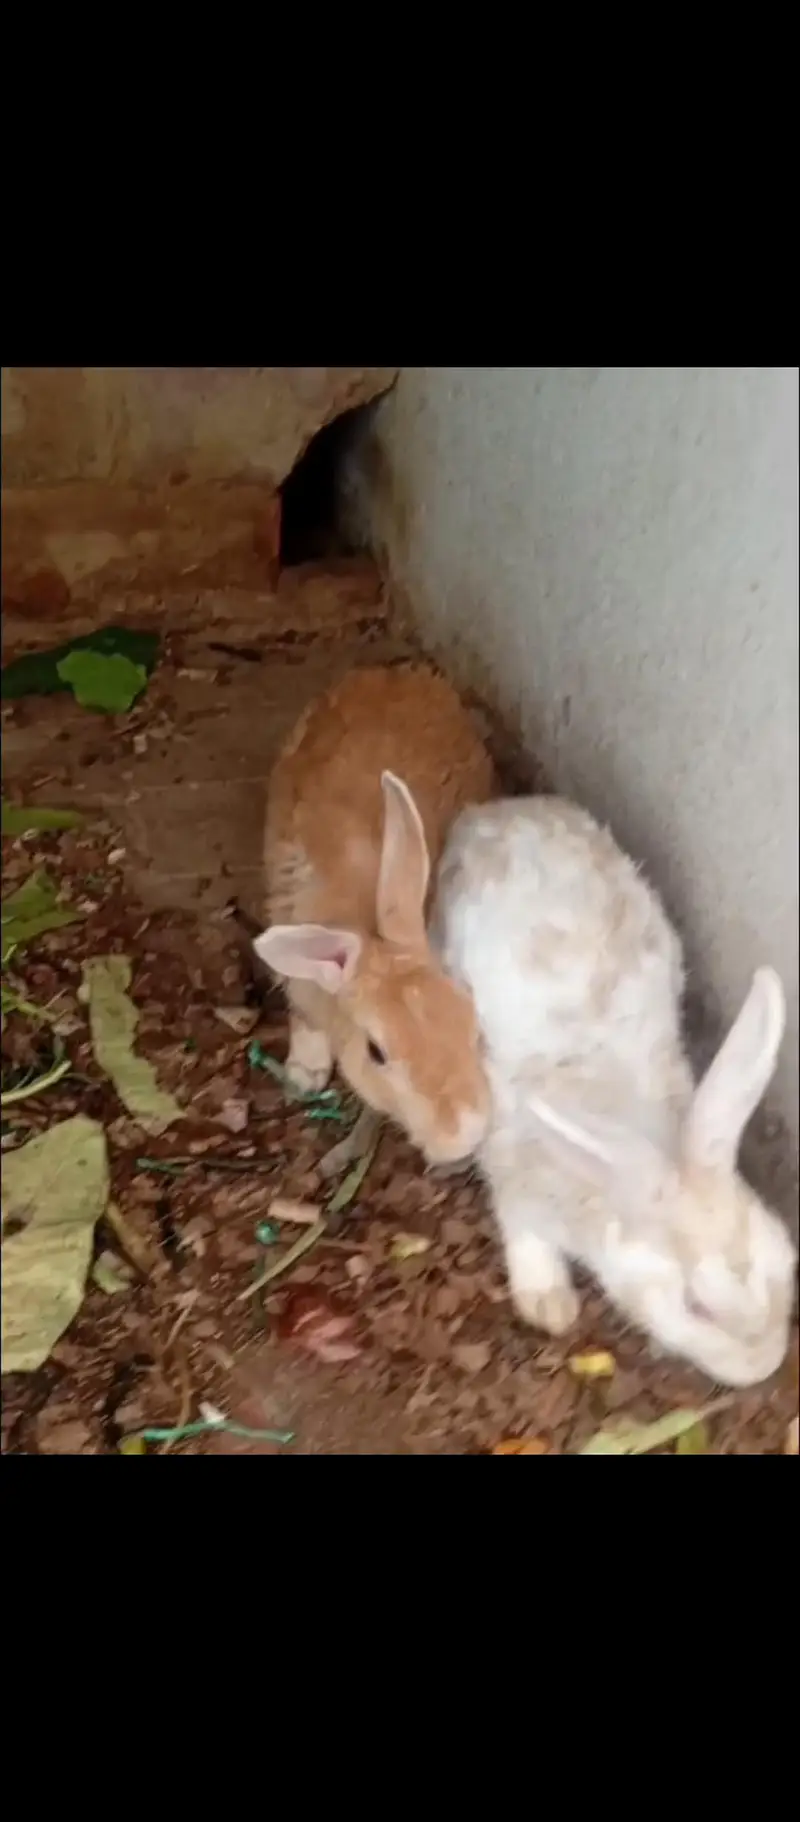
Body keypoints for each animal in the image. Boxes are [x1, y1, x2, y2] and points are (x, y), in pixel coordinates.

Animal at [252, 663, 495, 1170]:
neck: (367, 933)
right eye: (376, 1053)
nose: (464, 1135)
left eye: (467, 1016)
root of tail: (399, 674)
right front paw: (303, 1073)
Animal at [430, 794, 797, 1388]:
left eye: (784, 1258)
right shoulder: (516, 1180)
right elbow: (524, 1232)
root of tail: (501, 808)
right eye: (696, 1306)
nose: (763, 1367)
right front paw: (550, 1305)